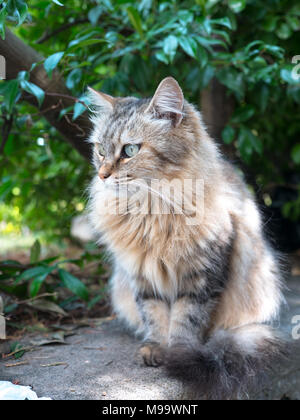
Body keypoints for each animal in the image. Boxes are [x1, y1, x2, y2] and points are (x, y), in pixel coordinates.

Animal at [86, 76, 286, 400]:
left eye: (130, 150)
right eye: (100, 150)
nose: (103, 175)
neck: (152, 211)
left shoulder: (202, 275)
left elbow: (186, 319)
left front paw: (178, 354)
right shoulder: (141, 274)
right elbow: (154, 315)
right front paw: (154, 348)